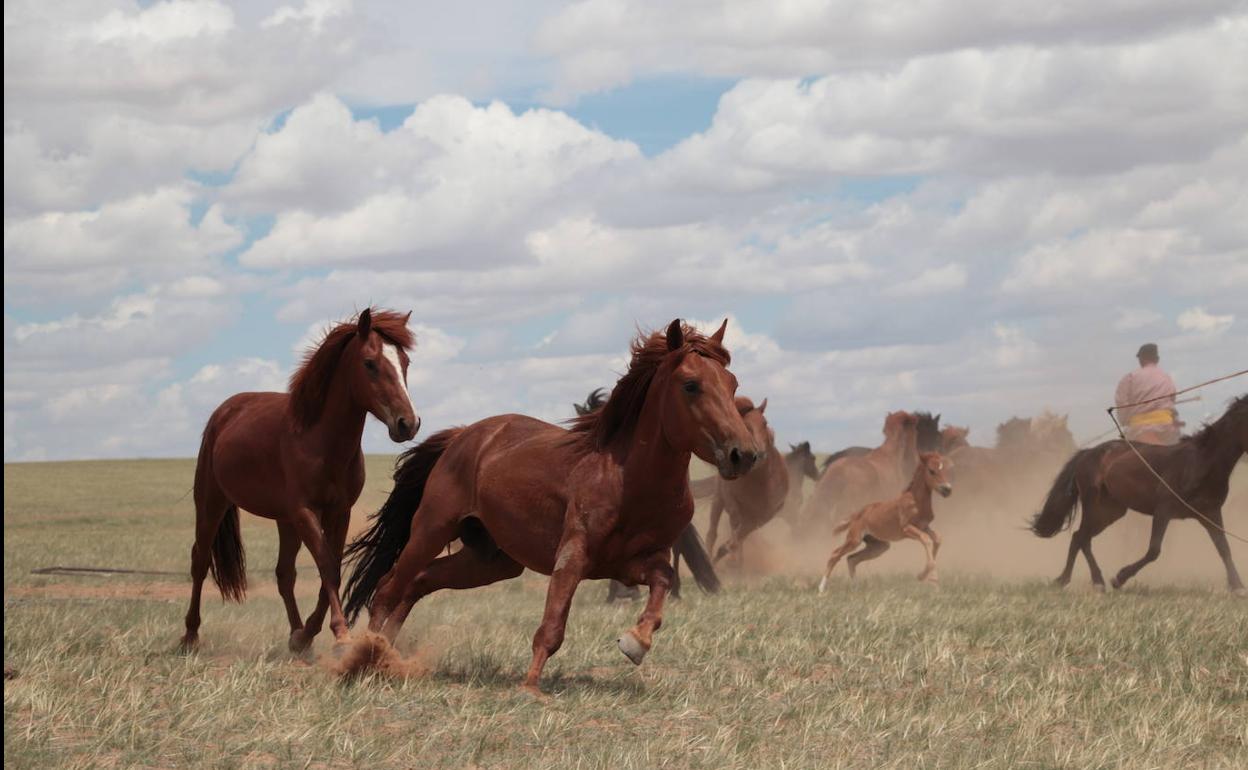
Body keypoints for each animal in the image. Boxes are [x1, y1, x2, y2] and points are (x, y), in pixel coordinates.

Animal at [178, 309, 419, 653]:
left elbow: (330, 568)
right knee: (199, 561)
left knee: (284, 574)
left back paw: (295, 636)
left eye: (405, 362)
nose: (408, 423)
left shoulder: (338, 512)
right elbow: (327, 566)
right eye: (370, 363)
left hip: (285, 520)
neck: (320, 440)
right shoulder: (306, 512)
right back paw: (190, 635)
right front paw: (339, 634)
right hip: (211, 501)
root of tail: (224, 412)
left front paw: (308, 633)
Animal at [341, 318, 758, 688]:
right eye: (691, 385)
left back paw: (387, 656)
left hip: (492, 561)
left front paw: (635, 643)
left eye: (732, 383)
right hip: (432, 529)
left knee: (419, 582)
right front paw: (530, 687)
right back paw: (365, 658)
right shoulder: (573, 556)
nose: (744, 454)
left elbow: (663, 583)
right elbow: (552, 624)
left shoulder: (633, 563)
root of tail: (463, 436)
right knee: (389, 587)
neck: (628, 478)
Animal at [703, 396, 788, 564]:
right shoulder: (730, 499)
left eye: (764, 423)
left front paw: (729, 553)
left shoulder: (763, 516)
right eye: (745, 425)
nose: (759, 454)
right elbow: (735, 521)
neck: (760, 481)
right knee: (712, 532)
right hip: (718, 499)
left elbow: (742, 534)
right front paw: (728, 554)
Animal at [813, 446, 948, 591]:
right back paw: (821, 588)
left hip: (879, 545)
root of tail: (856, 515)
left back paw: (856, 588)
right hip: (854, 539)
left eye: (944, 469)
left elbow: (938, 539)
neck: (915, 500)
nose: (947, 489)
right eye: (931, 470)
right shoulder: (907, 528)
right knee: (835, 554)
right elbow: (926, 540)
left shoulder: (924, 526)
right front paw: (926, 576)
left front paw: (929, 578)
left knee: (851, 559)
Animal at [1033, 394, 1248, 591]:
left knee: (1081, 537)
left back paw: (1086, 580)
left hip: (1111, 511)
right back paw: (1076, 580)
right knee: (1081, 538)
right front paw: (1119, 578)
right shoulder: (1163, 511)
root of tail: (1088, 453)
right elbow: (1154, 551)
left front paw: (1237, 586)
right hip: (1094, 505)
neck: (1199, 464)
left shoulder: (1210, 514)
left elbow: (1224, 549)